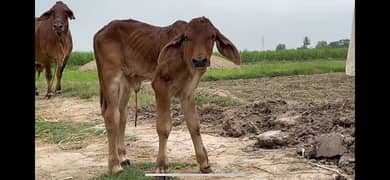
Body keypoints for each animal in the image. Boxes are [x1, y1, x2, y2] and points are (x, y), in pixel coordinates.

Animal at [94, 16, 241, 174]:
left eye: (212, 36)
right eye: (187, 37)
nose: (200, 61)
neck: (184, 57)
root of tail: (101, 30)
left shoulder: (188, 92)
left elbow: (194, 125)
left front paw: (204, 163)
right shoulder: (160, 85)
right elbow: (164, 127)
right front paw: (161, 165)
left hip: (125, 83)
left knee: (121, 115)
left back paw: (123, 158)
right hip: (110, 78)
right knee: (111, 115)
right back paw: (115, 165)